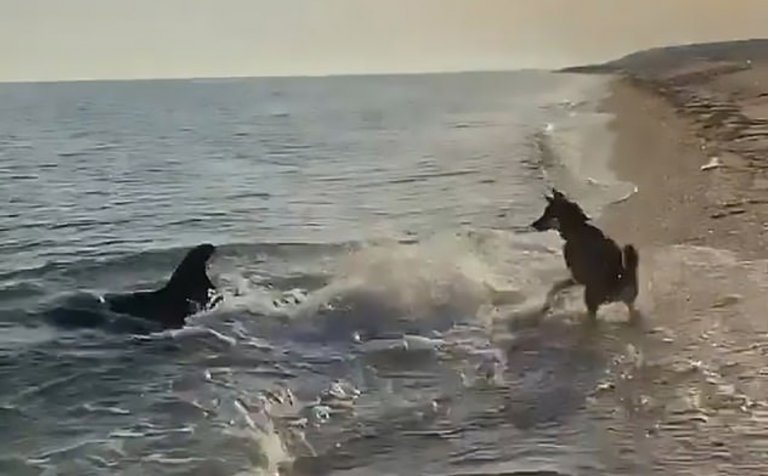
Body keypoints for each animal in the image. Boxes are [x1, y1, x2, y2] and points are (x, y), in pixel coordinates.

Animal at [532, 189, 640, 320]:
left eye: (548, 214)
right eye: (544, 212)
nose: (533, 224)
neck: (578, 227)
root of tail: (620, 283)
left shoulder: (577, 276)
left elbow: (557, 286)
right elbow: (557, 286)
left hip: (590, 298)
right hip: (627, 300)